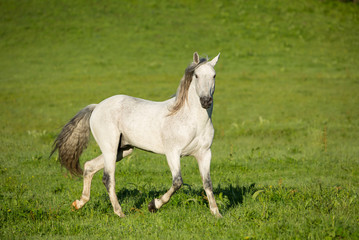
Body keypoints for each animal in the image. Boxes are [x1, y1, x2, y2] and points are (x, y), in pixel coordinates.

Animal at [51, 52, 222, 218]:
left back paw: (78, 204)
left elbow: (207, 183)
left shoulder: (204, 153)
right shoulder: (172, 153)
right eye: (196, 76)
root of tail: (97, 106)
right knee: (108, 178)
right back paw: (120, 213)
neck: (191, 120)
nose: (206, 101)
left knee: (89, 166)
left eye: (214, 75)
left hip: (123, 150)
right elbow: (177, 182)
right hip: (110, 148)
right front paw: (153, 205)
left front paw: (217, 213)